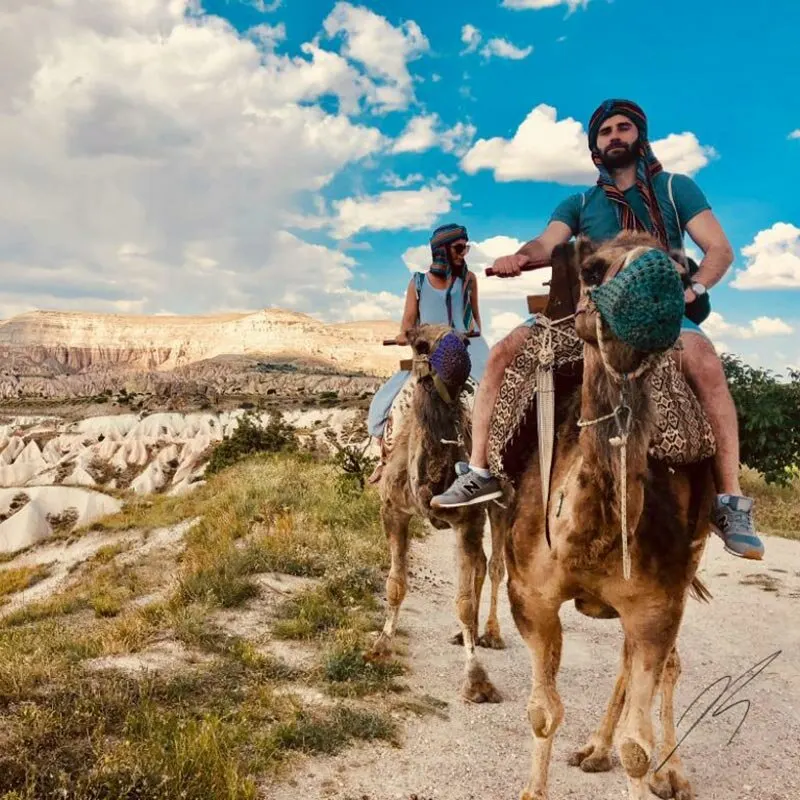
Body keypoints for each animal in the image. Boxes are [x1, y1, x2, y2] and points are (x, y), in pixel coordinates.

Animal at [370, 323, 505, 704]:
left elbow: (463, 601)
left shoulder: (468, 519)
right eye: (419, 344)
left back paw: (491, 634)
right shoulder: (393, 510)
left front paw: (477, 680)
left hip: (500, 505)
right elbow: (395, 584)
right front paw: (380, 646)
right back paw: (464, 635)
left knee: (495, 565)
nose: (457, 363)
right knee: (481, 563)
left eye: (465, 342)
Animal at [501, 232, 716, 800]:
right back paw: (595, 749)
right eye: (592, 269)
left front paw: (657, 769)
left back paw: (672, 773)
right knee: (625, 657)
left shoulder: (657, 605)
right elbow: (542, 713)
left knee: (666, 665)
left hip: (690, 561)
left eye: (683, 270)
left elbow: (637, 747)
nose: (658, 280)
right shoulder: (529, 596)